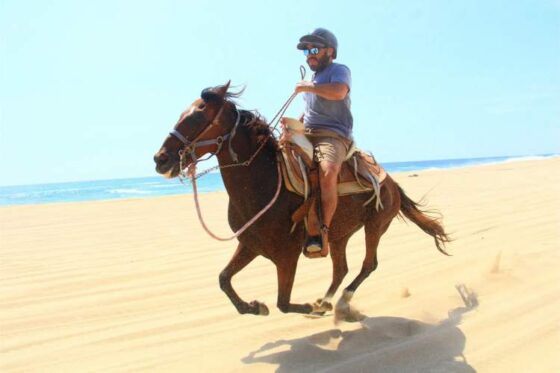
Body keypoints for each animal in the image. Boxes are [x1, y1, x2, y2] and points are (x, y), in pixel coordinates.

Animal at [153, 82, 450, 320]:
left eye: (198, 117)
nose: (160, 159)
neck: (263, 182)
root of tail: (390, 182)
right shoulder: (249, 244)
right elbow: (224, 279)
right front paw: (254, 306)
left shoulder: (286, 256)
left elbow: (283, 303)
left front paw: (305, 308)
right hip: (339, 235)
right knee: (341, 269)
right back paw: (326, 301)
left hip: (375, 226)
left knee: (368, 265)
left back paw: (339, 303)